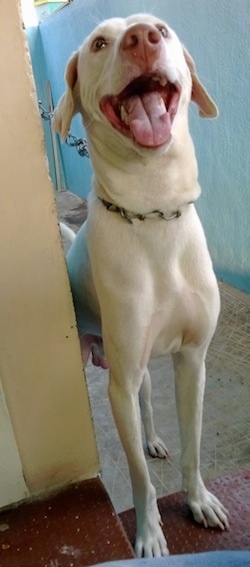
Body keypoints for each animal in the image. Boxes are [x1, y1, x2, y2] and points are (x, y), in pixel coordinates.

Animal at [54, 15, 229, 556]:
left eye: (164, 30)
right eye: (98, 43)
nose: (142, 38)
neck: (154, 211)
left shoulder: (192, 361)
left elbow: (193, 450)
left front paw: (199, 501)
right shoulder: (121, 381)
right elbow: (139, 479)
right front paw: (150, 534)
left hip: (139, 373)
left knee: (148, 407)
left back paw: (152, 439)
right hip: (106, 368)